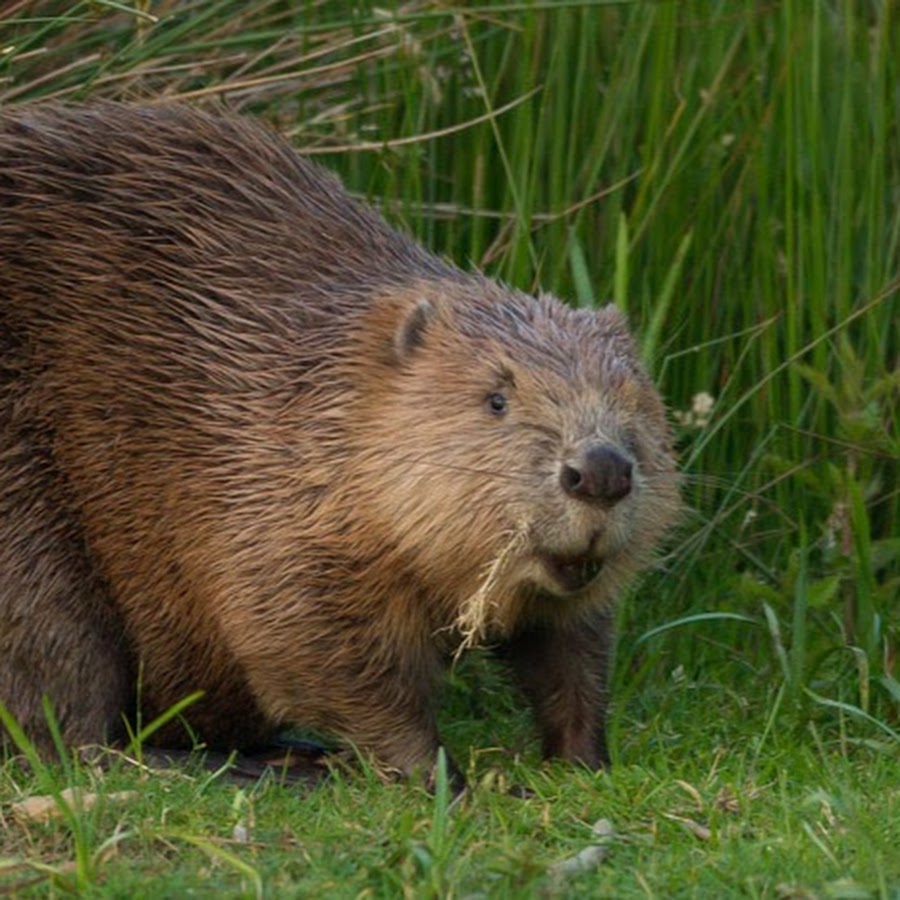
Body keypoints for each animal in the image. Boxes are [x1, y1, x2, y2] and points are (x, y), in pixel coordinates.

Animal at [0, 103, 680, 780]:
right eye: (496, 398)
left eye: (634, 395)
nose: (601, 471)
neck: (315, 376)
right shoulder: (258, 490)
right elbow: (317, 648)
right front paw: (441, 776)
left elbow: (571, 646)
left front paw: (585, 759)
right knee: (68, 717)